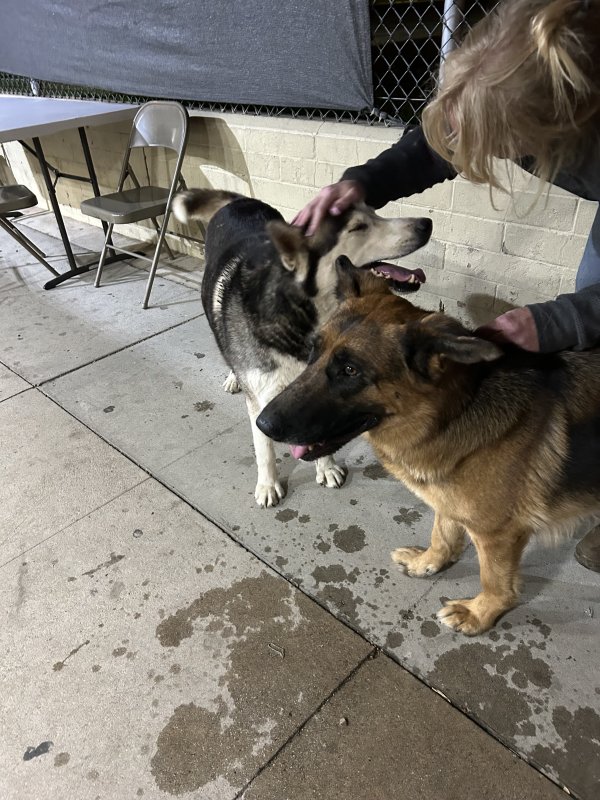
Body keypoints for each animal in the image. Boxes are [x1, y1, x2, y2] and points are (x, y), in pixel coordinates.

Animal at [255, 260, 600, 636]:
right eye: (313, 353)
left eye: (349, 370)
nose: (262, 423)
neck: (454, 408)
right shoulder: (449, 500)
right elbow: (443, 535)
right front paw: (429, 563)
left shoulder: (498, 534)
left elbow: (496, 583)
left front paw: (479, 614)